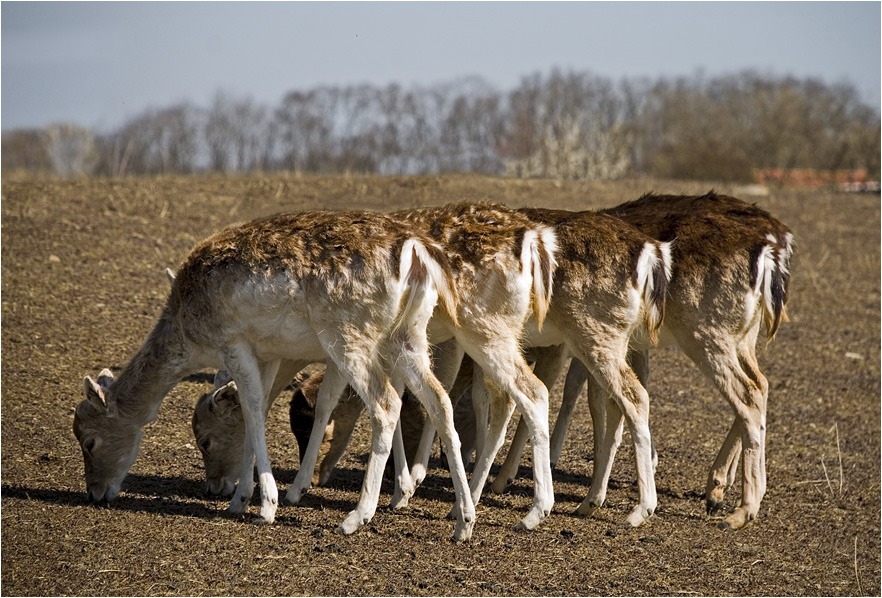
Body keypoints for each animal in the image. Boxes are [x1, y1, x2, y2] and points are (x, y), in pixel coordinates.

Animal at [72, 210, 482, 544]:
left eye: (89, 442)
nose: (94, 493)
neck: (190, 335)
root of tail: (417, 252)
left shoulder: (233, 341)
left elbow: (253, 408)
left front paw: (266, 506)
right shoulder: (266, 353)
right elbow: (260, 407)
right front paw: (240, 500)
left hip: (349, 332)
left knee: (386, 403)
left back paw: (356, 517)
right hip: (408, 335)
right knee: (440, 401)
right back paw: (463, 522)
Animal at [492, 193, 796, 528]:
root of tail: (772, 251)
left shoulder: (559, 345)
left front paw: (504, 477)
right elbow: (597, 399)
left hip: (706, 333)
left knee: (747, 394)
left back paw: (739, 507)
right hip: (742, 336)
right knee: (761, 384)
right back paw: (721, 487)